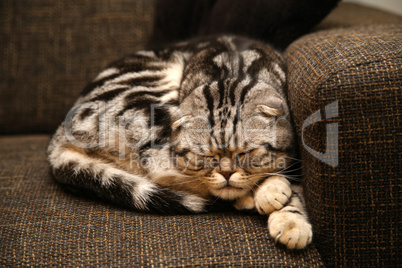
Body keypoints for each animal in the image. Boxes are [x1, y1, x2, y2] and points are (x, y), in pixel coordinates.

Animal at [48, 0, 340, 249]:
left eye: (246, 152)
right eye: (208, 156)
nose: (227, 174)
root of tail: (59, 136)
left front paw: (289, 217)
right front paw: (279, 205)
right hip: (154, 108)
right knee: (168, 171)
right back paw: (257, 193)